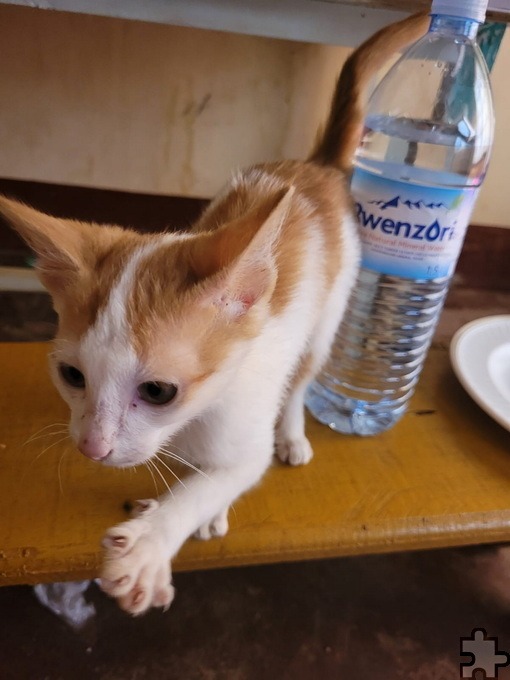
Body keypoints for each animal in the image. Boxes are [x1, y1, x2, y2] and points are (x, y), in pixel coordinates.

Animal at [0, 10, 430, 616]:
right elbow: (201, 473)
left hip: (329, 315)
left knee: (302, 380)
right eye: (71, 376)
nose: (91, 448)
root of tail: (314, 166)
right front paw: (195, 504)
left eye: (158, 391)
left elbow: (219, 478)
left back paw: (293, 432)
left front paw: (153, 542)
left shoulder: (247, 433)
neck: (194, 419)